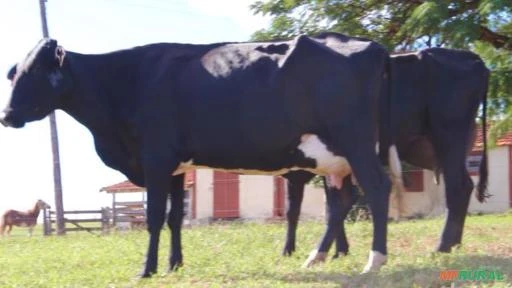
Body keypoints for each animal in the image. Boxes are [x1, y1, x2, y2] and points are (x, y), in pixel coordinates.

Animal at [1, 33, 396, 276]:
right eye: (13, 73)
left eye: (34, 72)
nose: (6, 115)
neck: (125, 82)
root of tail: (373, 47)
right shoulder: (176, 167)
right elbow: (176, 218)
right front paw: (174, 265)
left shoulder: (156, 160)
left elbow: (155, 217)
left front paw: (146, 269)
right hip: (338, 158)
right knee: (343, 201)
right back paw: (316, 257)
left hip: (356, 142)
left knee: (377, 190)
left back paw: (374, 261)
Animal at [280, 47, 492, 266]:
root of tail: (474, 59)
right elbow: (321, 205)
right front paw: (337, 251)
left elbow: (309, 208)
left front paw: (302, 251)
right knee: (464, 186)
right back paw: (454, 246)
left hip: (449, 137)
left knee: (457, 188)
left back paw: (442, 248)